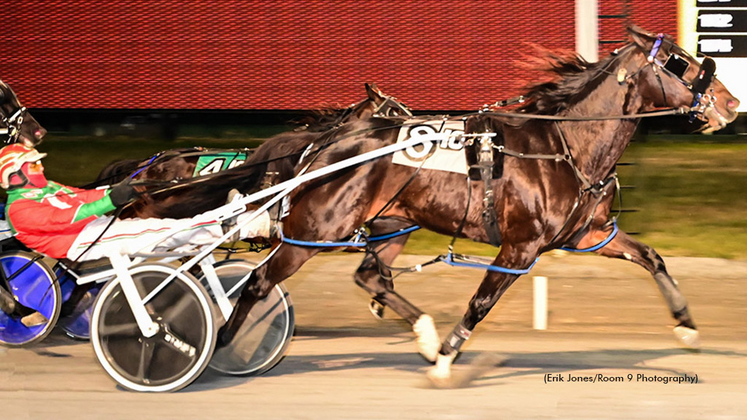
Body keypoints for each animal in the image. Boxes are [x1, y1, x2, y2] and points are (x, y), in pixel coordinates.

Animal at [207, 26, 740, 384]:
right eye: (679, 61)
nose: (732, 103)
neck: (564, 145)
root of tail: (331, 141)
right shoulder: (521, 247)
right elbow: (482, 302)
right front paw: (446, 360)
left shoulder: (586, 233)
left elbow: (652, 257)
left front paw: (687, 328)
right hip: (317, 230)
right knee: (259, 281)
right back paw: (221, 347)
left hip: (390, 224)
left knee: (369, 276)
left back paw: (422, 332)